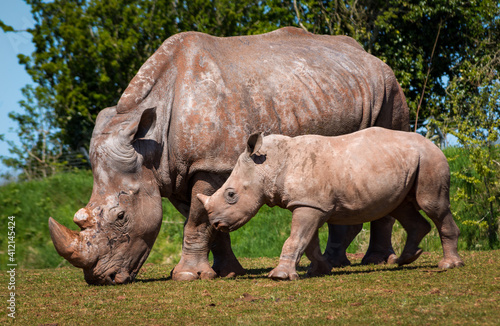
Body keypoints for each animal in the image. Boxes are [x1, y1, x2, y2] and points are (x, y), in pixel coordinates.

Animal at [196, 127, 464, 280]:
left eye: (231, 195)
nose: (216, 224)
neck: (269, 164)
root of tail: (432, 143)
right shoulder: (311, 204)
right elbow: (308, 242)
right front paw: (320, 270)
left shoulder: (308, 205)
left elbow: (295, 238)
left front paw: (279, 277)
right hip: (409, 161)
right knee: (401, 207)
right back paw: (404, 260)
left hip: (430, 159)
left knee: (432, 205)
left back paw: (449, 266)